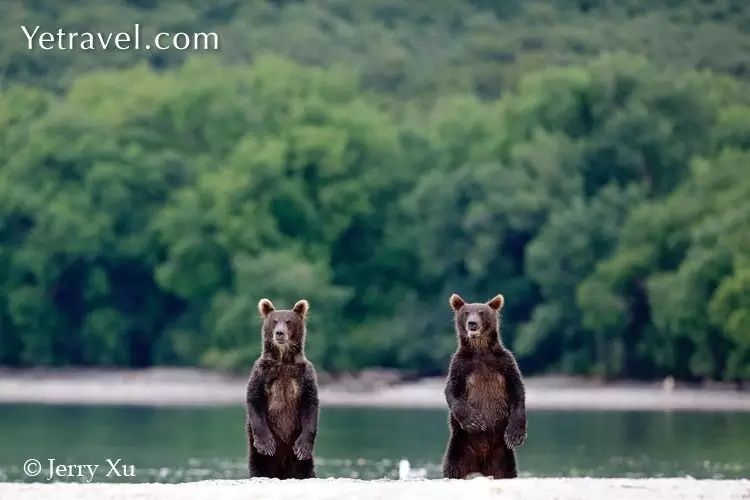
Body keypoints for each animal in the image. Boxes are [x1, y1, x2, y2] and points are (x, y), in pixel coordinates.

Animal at [245, 298, 318, 478]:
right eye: (274, 321)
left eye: (288, 321)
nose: (279, 333)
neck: (283, 360)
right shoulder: (261, 372)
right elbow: (254, 399)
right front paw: (266, 444)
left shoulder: (305, 375)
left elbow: (311, 404)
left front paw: (303, 447)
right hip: (261, 455)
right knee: (259, 464)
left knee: (304, 468)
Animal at [440, 292, 528, 480]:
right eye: (466, 313)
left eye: (481, 312)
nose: (472, 323)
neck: (480, 350)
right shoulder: (460, 366)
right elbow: (452, 391)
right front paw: (474, 420)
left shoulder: (504, 363)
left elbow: (517, 390)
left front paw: (515, 434)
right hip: (460, 448)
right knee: (452, 468)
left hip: (503, 457)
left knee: (507, 471)